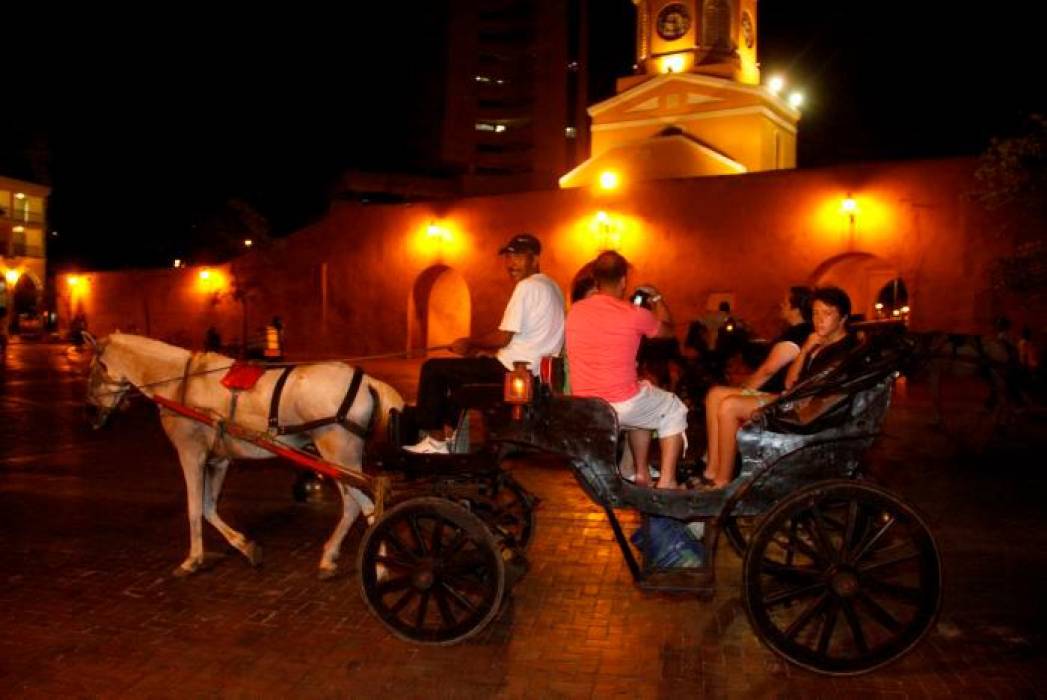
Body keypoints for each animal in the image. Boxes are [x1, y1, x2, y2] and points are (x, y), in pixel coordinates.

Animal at [83, 331, 404, 579]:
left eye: (94, 368)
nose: (91, 412)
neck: (179, 383)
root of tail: (365, 380)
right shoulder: (218, 459)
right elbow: (208, 507)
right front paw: (246, 546)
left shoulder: (191, 454)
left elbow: (194, 508)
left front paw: (193, 559)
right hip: (339, 460)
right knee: (355, 505)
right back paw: (330, 559)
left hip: (338, 456)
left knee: (369, 503)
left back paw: (378, 565)